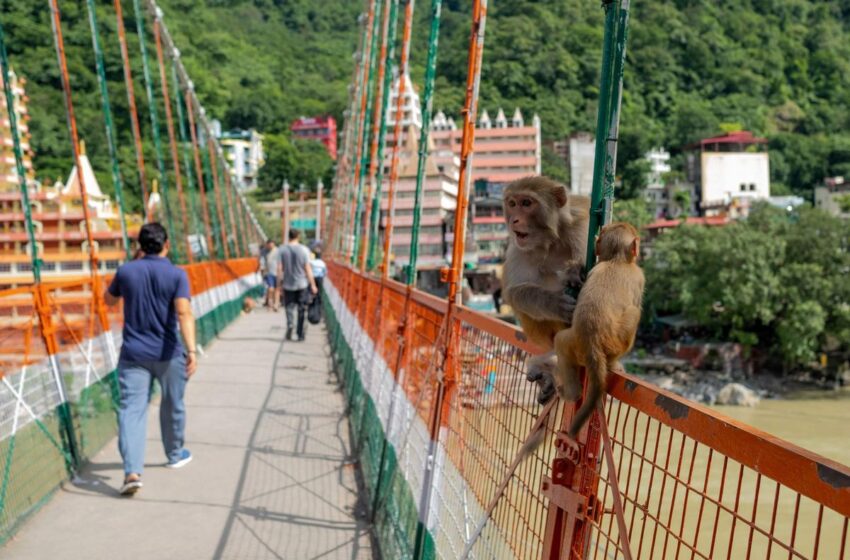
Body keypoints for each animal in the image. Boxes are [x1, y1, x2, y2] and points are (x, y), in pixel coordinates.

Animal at [500, 175, 588, 402]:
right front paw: (554, 303)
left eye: (526, 203)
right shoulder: (518, 248)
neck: (550, 239)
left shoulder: (580, 227)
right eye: (512, 204)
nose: (513, 220)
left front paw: (575, 271)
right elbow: (515, 291)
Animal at [552, 222, 640, 438]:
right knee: (634, 312)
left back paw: (572, 392)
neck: (617, 261)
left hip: (574, 344)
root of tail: (593, 345)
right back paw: (613, 364)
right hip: (613, 343)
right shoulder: (638, 277)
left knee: (560, 342)